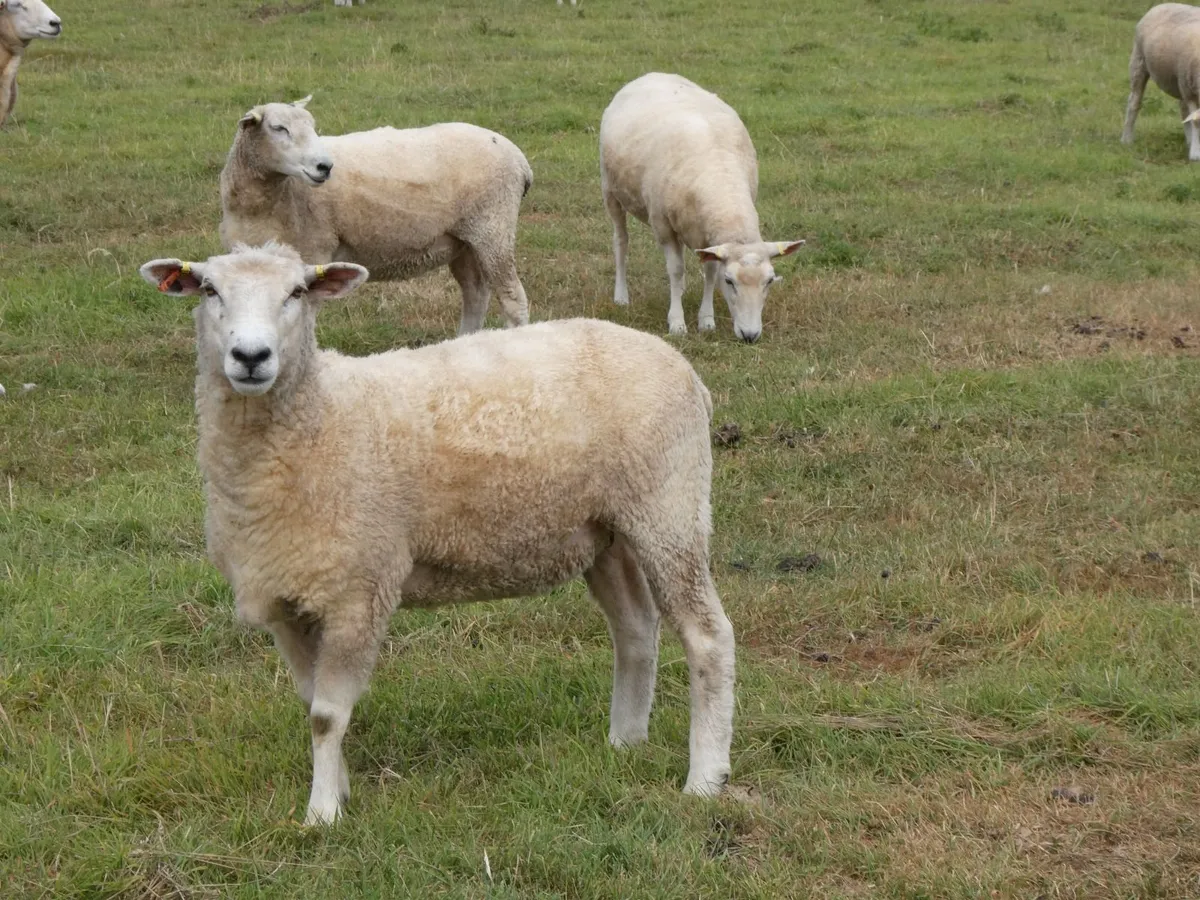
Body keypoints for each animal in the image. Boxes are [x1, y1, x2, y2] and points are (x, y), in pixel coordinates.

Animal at [138, 242, 737, 826]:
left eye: (298, 292)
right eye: (209, 290)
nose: (251, 357)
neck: (321, 418)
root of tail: (682, 368)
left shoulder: (359, 589)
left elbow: (327, 715)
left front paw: (322, 814)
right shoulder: (286, 595)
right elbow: (310, 706)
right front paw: (339, 789)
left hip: (669, 508)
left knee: (708, 636)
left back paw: (705, 777)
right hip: (608, 530)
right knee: (635, 629)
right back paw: (625, 743)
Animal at [220, 97, 534, 335]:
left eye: (312, 126)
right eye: (278, 128)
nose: (325, 166)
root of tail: (519, 158)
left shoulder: (314, 253)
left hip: (493, 227)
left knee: (513, 300)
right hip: (464, 240)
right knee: (475, 294)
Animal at [599, 72, 804, 343]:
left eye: (769, 281)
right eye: (729, 281)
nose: (750, 336)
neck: (721, 179)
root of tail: (653, 74)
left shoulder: (710, 237)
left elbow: (708, 272)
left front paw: (706, 320)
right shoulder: (663, 226)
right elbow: (676, 271)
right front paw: (677, 322)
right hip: (610, 190)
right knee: (621, 241)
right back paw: (621, 296)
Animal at [1122, 3, 1200, 161]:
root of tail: (1163, 4)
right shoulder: (1189, 90)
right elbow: (1195, 121)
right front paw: (1195, 154)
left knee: (1183, 111)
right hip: (1139, 62)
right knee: (1134, 102)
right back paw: (1126, 139)